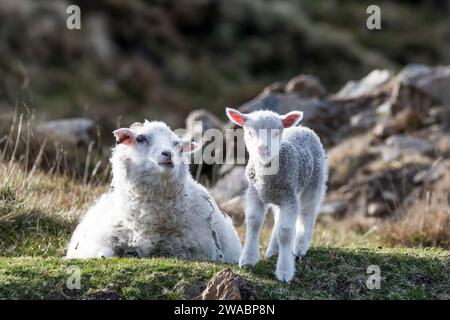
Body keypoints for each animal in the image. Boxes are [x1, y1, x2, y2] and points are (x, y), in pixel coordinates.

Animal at [65, 119, 241, 262]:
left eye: (178, 145)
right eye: (140, 138)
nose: (168, 154)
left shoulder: (195, 249)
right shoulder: (99, 242)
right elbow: (104, 253)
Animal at [225, 108, 326, 282]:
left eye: (276, 133)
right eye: (250, 132)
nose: (262, 148)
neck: (266, 177)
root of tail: (304, 128)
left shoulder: (290, 199)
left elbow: (285, 232)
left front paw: (285, 271)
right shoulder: (254, 193)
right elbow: (254, 223)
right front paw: (248, 260)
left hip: (313, 184)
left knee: (308, 214)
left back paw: (300, 247)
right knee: (278, 219)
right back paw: (273, 250)